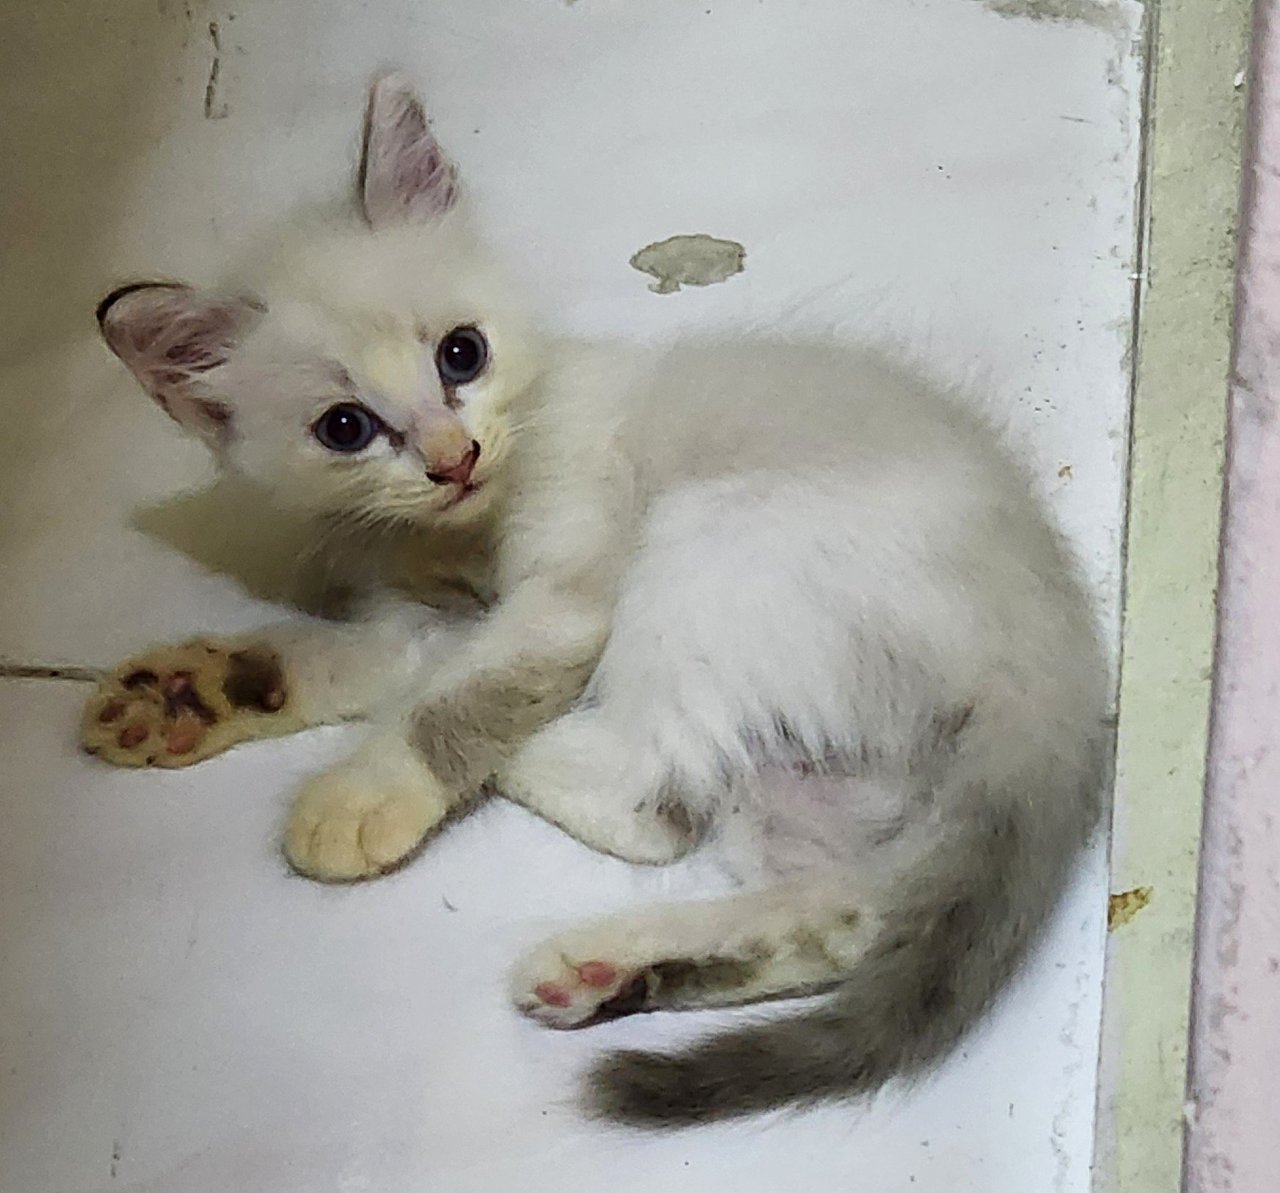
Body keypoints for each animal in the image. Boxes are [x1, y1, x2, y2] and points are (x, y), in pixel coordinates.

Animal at [92, 76, 1111, 1126]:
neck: (467, 531)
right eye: (346, 428)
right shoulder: (416, 605)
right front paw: (188, 693)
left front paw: (364, 792)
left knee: (652, 800)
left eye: (462, 354)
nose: (453, 459)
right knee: (839, 906)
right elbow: (348, 656)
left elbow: (460, 695)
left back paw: (536, 777)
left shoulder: (563, 590)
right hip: (814, 787)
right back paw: (610, 968)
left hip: (713, 536)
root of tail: (1061, 662)